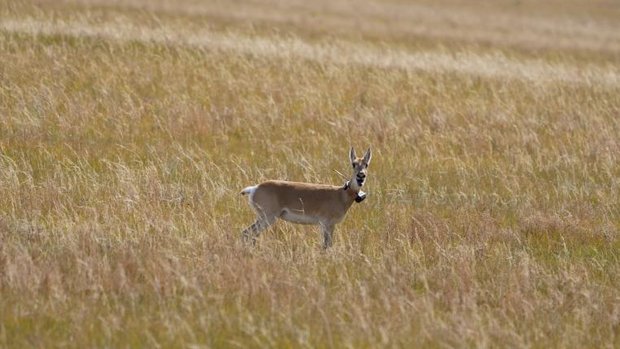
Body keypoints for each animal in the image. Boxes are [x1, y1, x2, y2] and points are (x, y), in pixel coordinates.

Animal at [240, 147, 370, 247]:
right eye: (353, 164)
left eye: (366, 164)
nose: (361, 176)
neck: (341, 194)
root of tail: (254, 188)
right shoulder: (326, 224)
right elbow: (326, 245)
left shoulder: (330, 225)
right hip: (268, 218)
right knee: (247, 233)